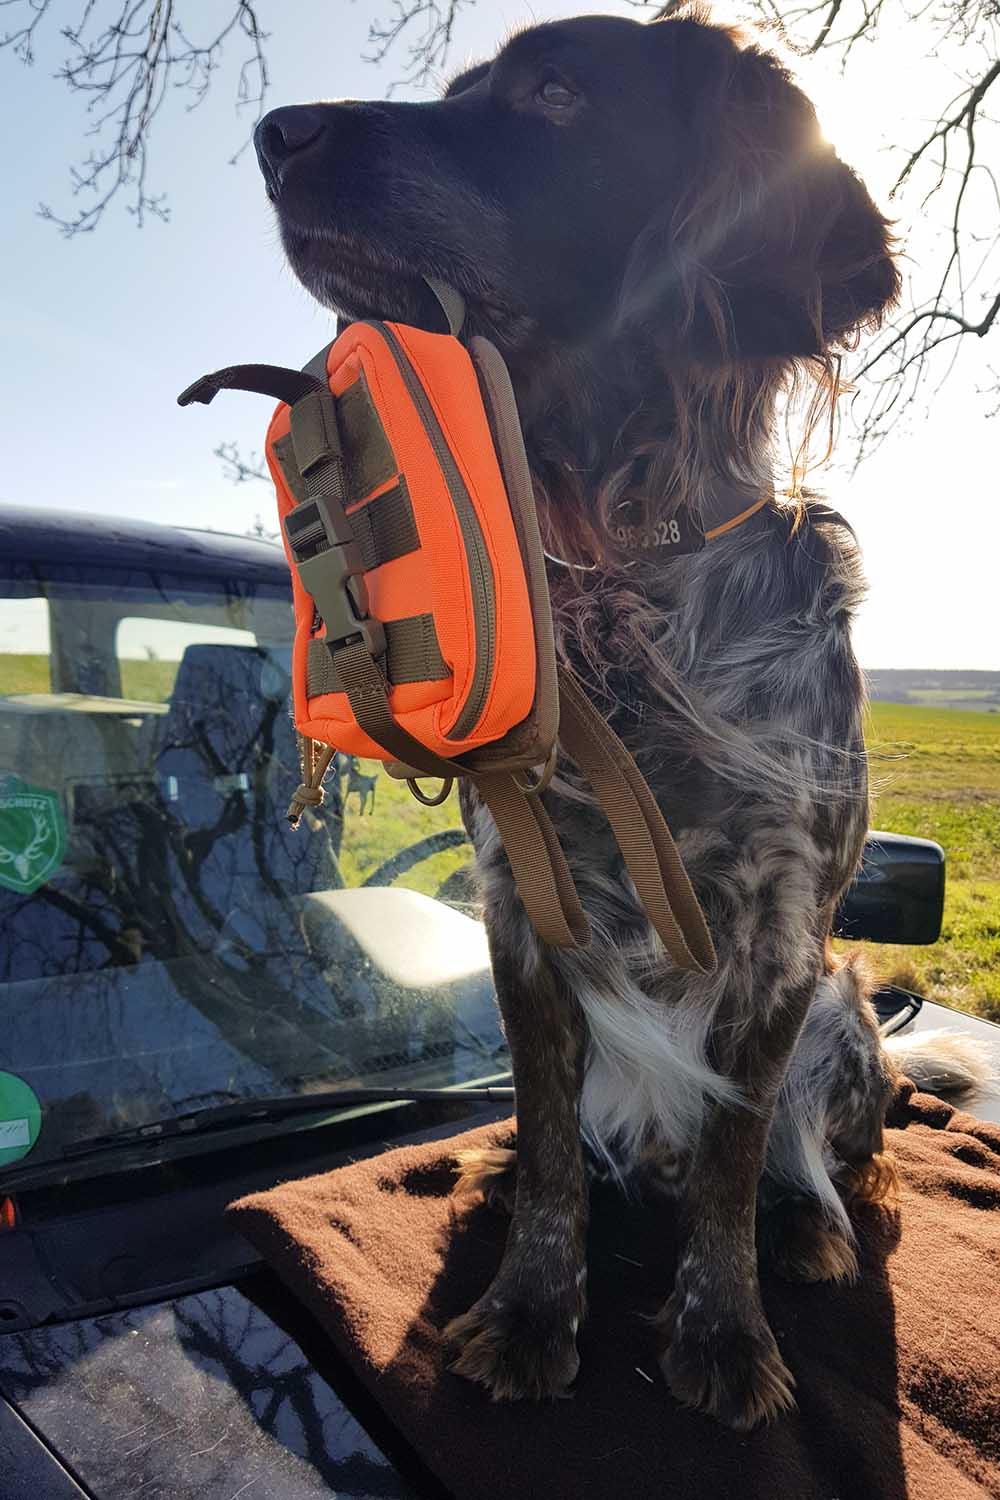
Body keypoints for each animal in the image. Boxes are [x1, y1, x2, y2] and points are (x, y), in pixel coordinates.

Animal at [254, 2, 989, 1428]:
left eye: (557, 94)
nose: (274, 130)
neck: (627, 581)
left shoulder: (776, 936)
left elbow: (733, 1153)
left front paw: (722, 1332)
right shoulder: (521, 906)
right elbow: (547, 1143)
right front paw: (530, 1309)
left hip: (843, 1010)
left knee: (836, 1156)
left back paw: (810, 1229)